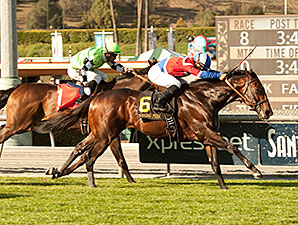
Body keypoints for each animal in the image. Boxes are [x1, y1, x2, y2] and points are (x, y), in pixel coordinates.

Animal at [0, 59, 157, 183]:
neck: (120, 93)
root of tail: (17, 87)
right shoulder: (109, 133)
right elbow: (119, 157)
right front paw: (132, 181)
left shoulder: (102, 133)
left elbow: (81, 149)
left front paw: (56, 171)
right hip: (17, 124)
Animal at [32, 68, 272, 188]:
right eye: (258, 87)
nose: (268, 112)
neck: (204, 98)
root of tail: (97, 96)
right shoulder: (205, 132)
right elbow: (233, 147)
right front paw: (256, 171)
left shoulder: (206, 136)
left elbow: (215, 164)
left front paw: (224, 187)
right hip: (105, 135)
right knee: (89, 156)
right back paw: (90, 183)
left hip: (101, 133)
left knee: (81, 149)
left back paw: (58, 171)